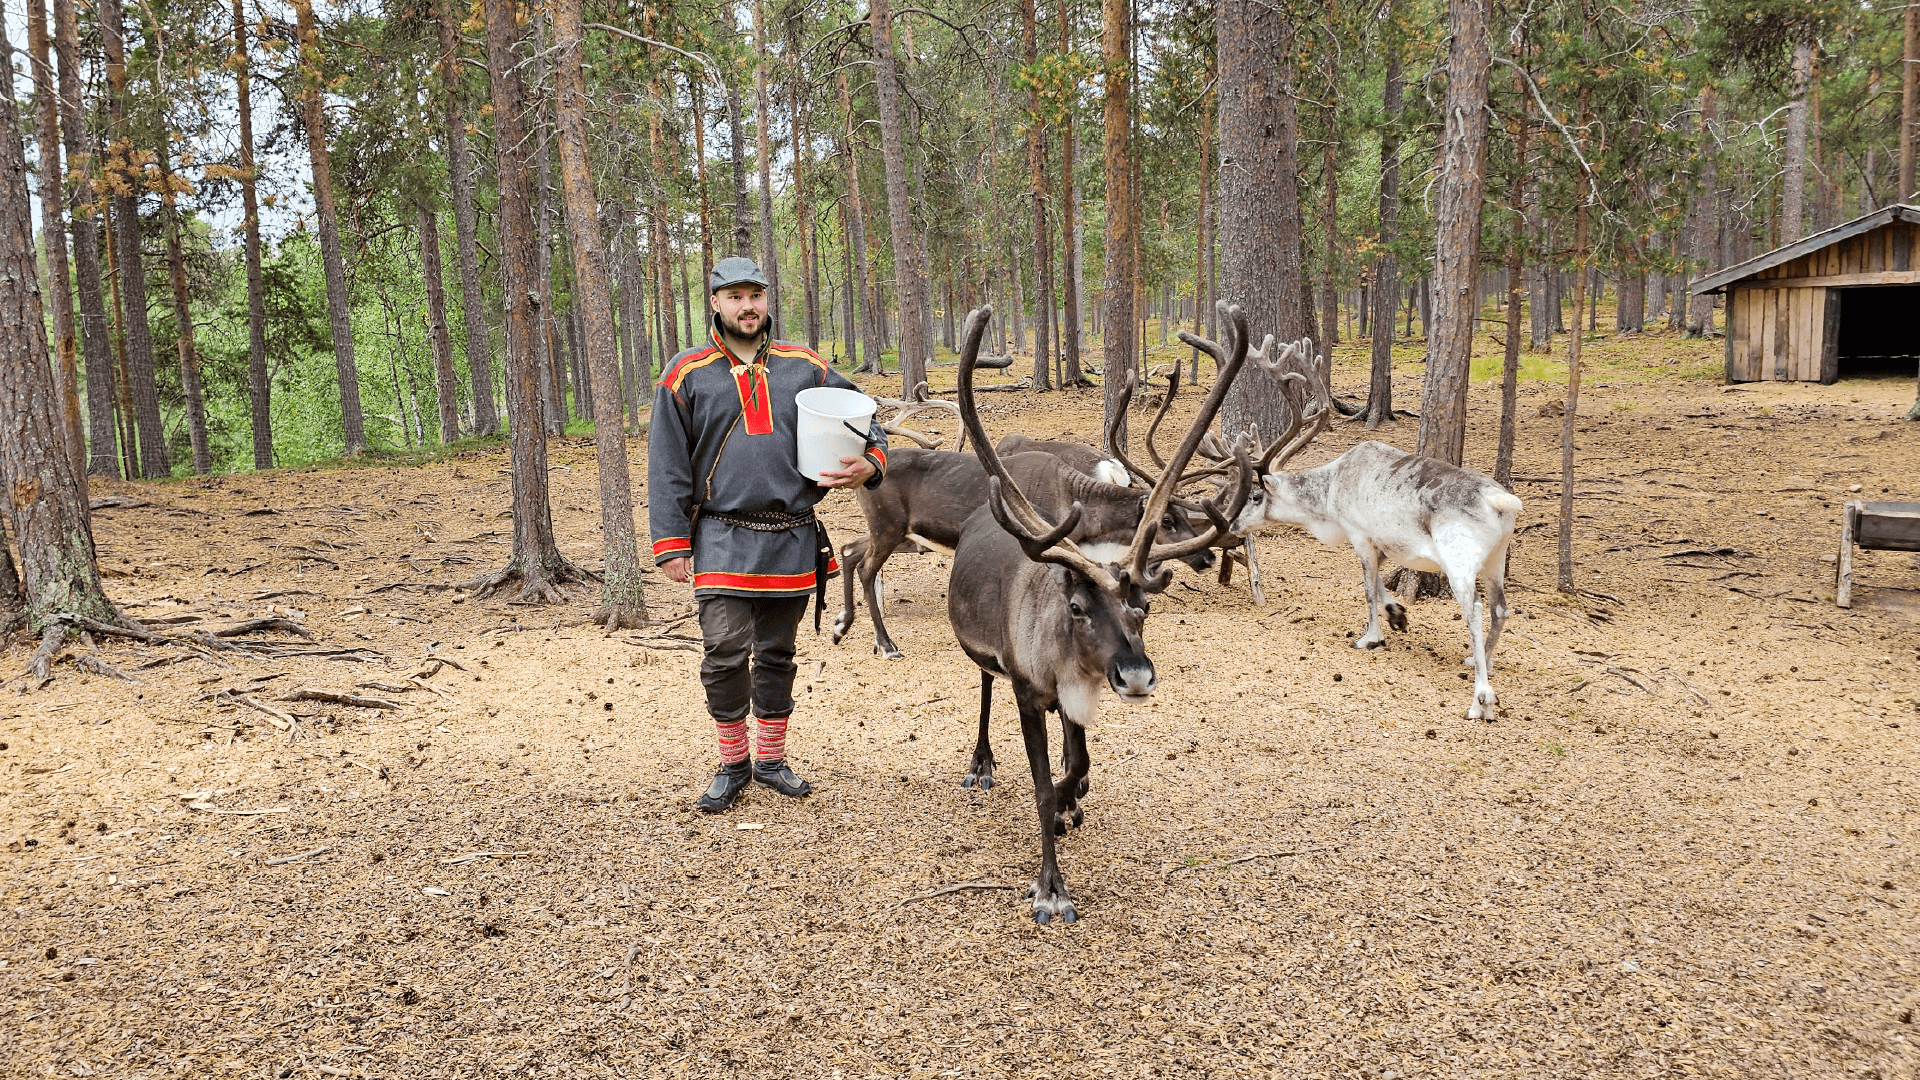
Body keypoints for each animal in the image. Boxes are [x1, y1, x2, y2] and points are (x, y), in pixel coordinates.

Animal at [947, 303, 1253, 924]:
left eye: (1144, 606)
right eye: (1077, 606)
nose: (1135, 674)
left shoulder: (1077, 697)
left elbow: (1079, 765)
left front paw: (1074, 803)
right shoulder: (1029, 693)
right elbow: (1043, 788)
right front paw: (1051, 887)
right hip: (986, 654)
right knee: (984, 684)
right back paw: (982, 763)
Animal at [1225, 336, 1523, 721]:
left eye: (1256, 495)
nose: (1232, 522)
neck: (1330, 493)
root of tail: (1499, 501)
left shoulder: (1359, 535)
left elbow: (1366, 587)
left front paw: (1370, 637)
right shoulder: (1381, 543)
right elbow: (1379, 583)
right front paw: (1397, 614)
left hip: (1459, 560)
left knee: (1475, 610)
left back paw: (1481, 700)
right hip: (1496, 558)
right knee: (1501, 608)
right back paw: (1477, 658)